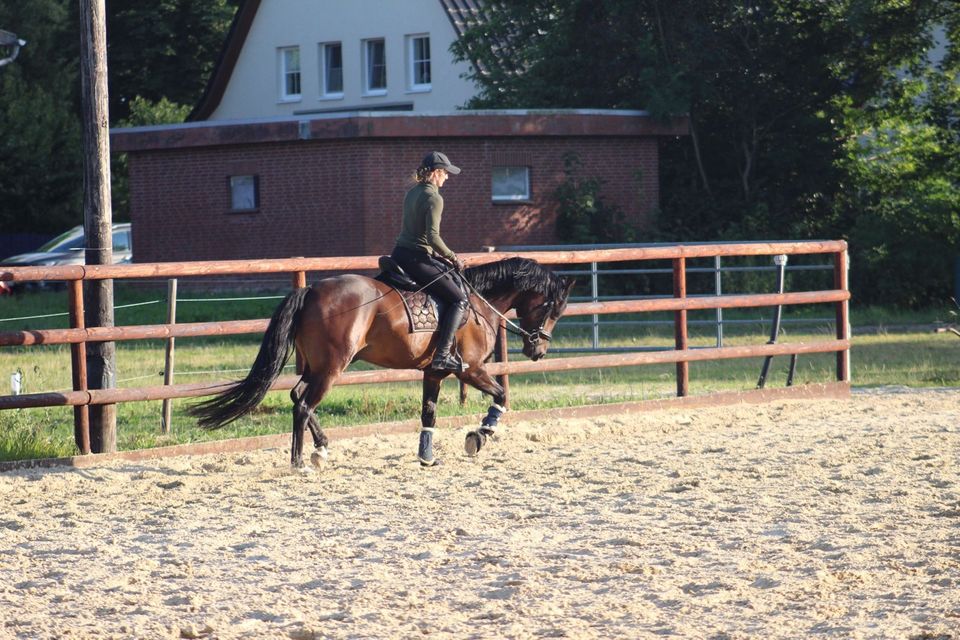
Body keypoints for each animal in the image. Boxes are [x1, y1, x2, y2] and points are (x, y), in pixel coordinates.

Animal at [191, 256, 572, 470]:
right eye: (554, 308)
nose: (538, 350)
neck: (478, 303)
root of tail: (312, 290)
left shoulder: (434, 372)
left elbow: (428, 414)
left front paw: (426, 456)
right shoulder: (473, 369)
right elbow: (502, 396)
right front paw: (479, 436)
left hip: (316, 366)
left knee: (297, 397)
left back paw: (321, 449)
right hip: (332, 367)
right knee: (303, 405)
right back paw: (299, 462)